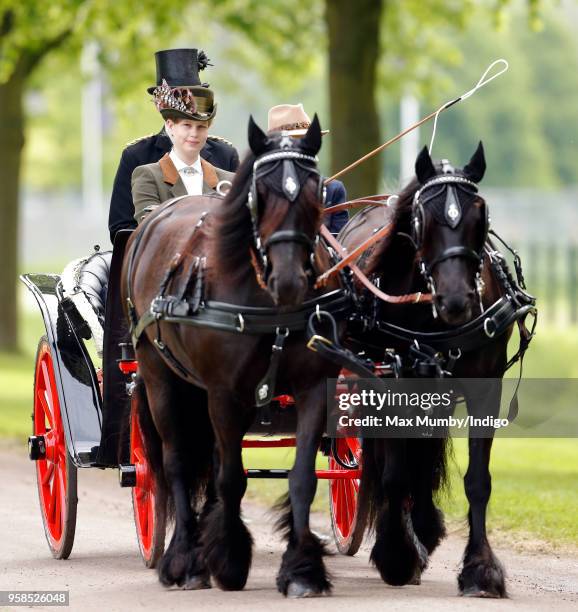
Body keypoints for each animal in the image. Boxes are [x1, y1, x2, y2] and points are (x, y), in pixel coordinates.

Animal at [121, 116, 342, 596]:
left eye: (316, 188)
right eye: (261, 191)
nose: (290, 280)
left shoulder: (314, 387)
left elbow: (302, 477)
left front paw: (302, 570)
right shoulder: (224, 392)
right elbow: (230, 478)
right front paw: (228, 561)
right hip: (159, 376)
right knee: (178, 460)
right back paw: (185, 559)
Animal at [338, 145, 532, 596]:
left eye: (481, 215)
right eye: (422, 218)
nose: (457, 300)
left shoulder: (485, 385)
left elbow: (477, 480)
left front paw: (481, 570)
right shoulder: (390, 382)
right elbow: (395, 475)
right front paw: (396, 555)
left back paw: (425, 527)